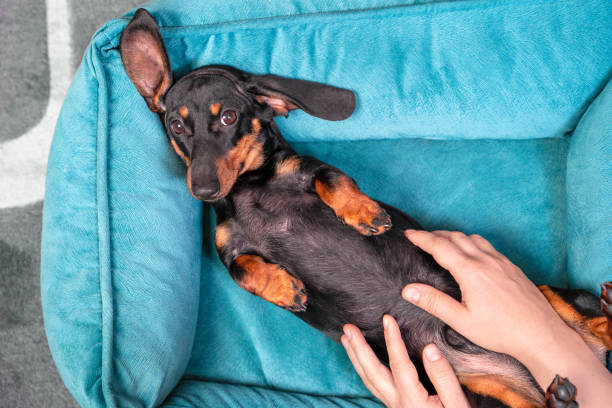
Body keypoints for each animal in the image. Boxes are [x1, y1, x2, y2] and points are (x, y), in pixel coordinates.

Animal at [120, 7, 612, 406]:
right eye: (176, 125)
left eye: (228, 117)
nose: (203, 190)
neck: (248, 188)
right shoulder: (227, 249)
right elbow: (243, 270)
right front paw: (284, 288)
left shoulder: (309, 170)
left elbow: (334, 181)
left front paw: (364, 215)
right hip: (496, 389)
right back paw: (563, 393)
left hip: (543, 294)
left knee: (588, 324)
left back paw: (604, 313)